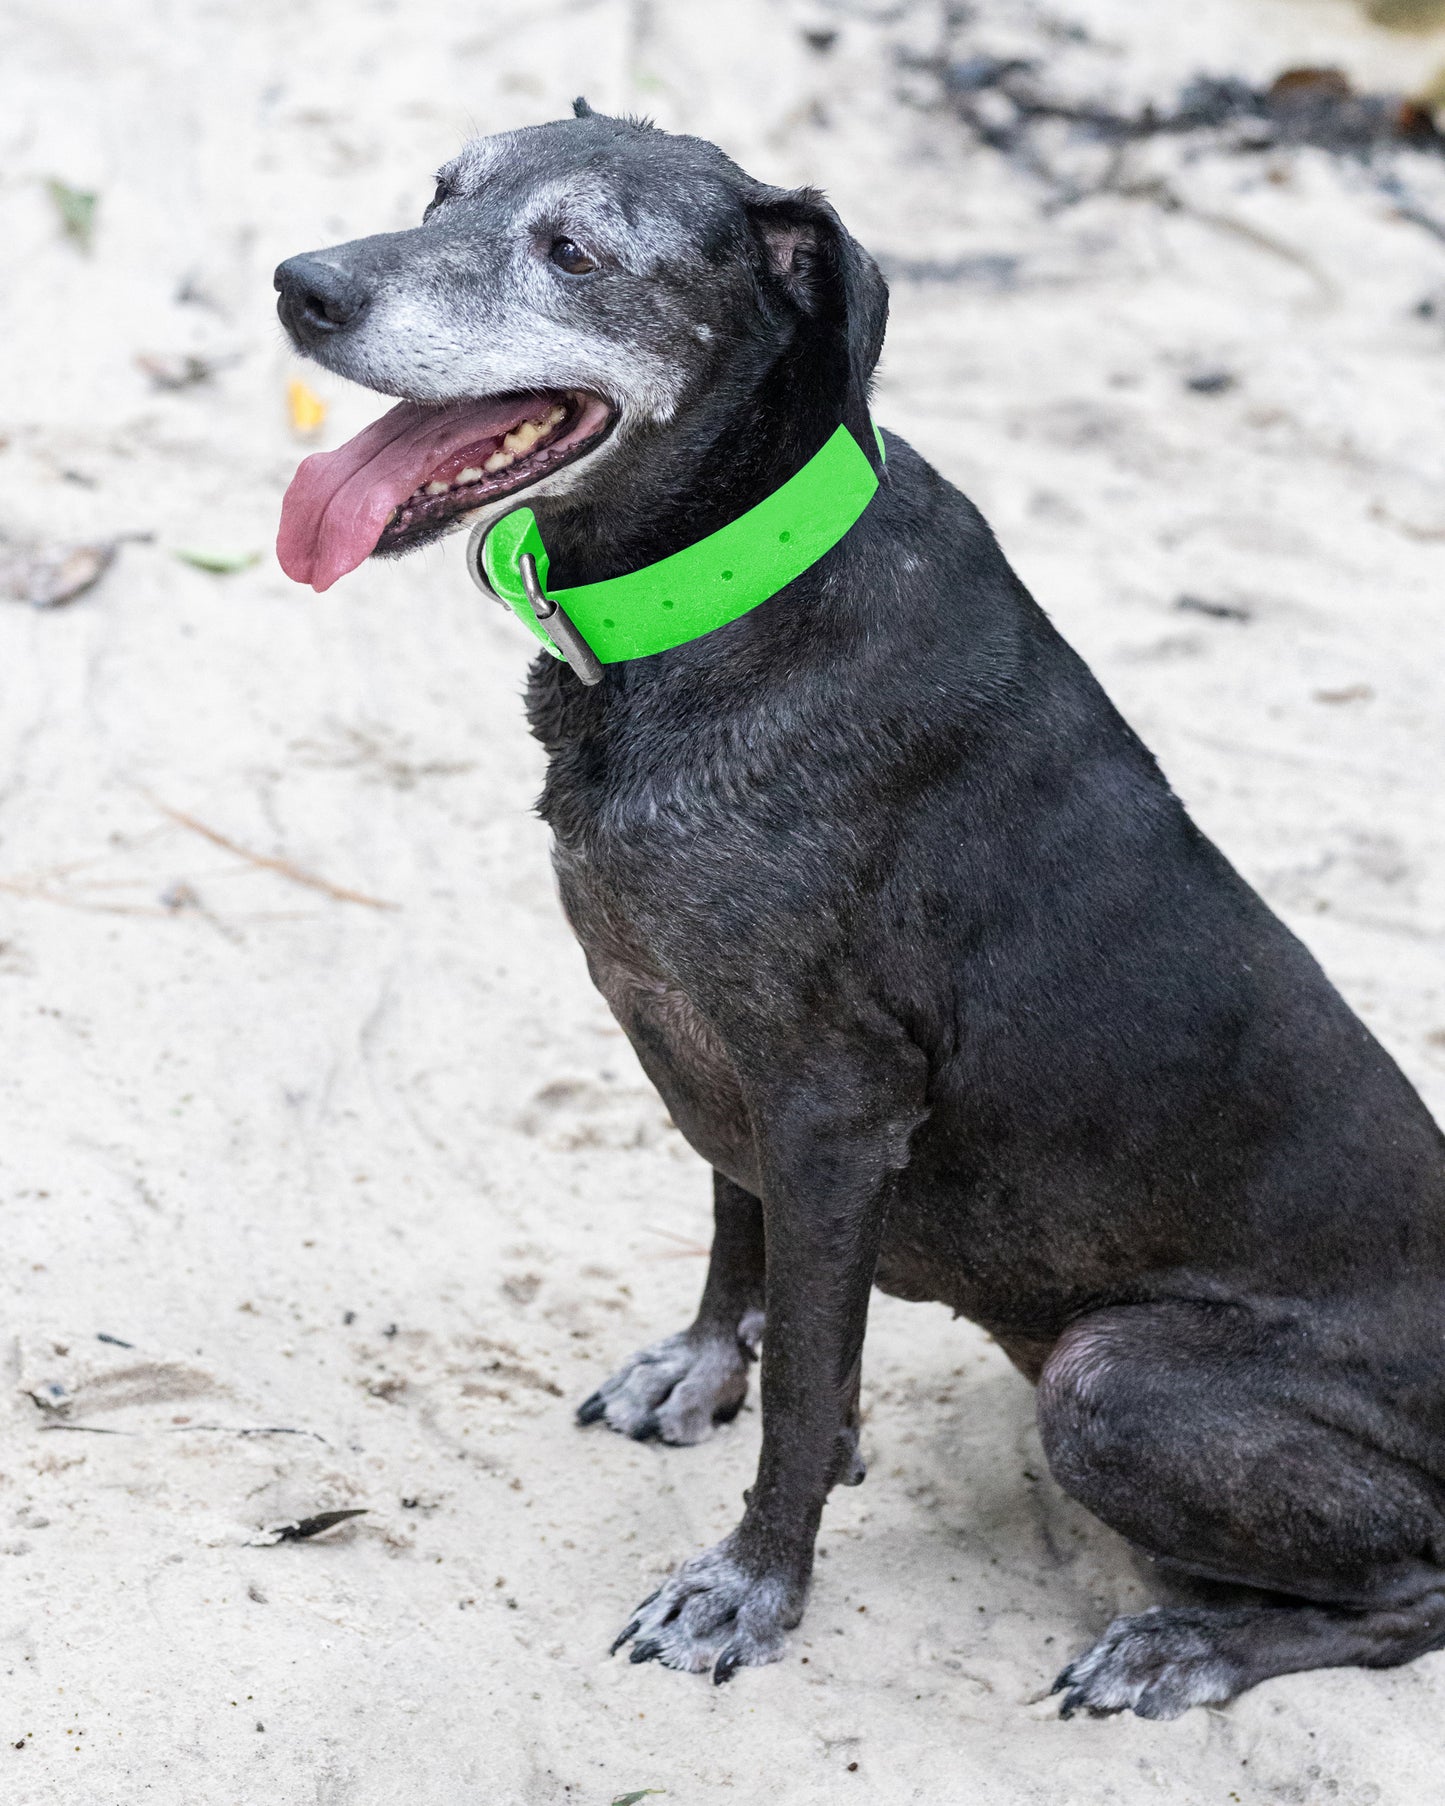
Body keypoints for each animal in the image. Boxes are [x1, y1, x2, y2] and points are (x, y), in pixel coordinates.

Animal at [276, 105, 1445, 1712]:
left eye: (572, 252)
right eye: (440, 189)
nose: (300, 287)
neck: (718, 591)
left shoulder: (832, 1109)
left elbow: (807, 1381)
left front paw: (749, 1586)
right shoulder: (718, 1057)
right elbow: (736, 1233)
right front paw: (702, 1365)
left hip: (1110, 1379)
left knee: (1413, 1587)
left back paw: (1193, 1641)